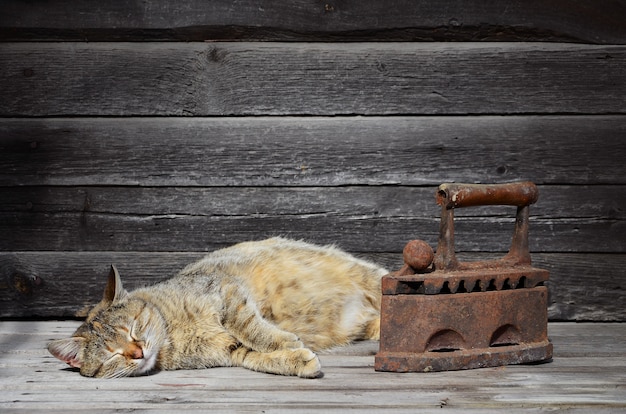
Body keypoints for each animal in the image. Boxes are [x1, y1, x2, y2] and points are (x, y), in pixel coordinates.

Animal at [48, 238, 388, 380]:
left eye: (133, 329)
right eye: (111, 355)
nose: (137, 353)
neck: (174, 334)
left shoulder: (226, 293)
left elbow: (252, 328)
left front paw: (283, 341)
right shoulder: (229, 351)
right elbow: (255, 357)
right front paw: (296, 360)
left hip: (372, 277)